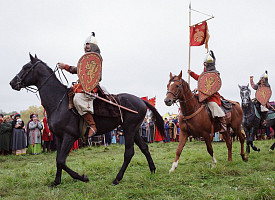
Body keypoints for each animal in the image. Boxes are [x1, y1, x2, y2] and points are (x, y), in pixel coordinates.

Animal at [10, 54, 166, 186]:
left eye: (26, 67)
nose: (12, 83)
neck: (59, 102)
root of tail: (140, 100)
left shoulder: (69, 136)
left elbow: (61, 160)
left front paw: (82, 177)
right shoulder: (59, 137)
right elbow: (58, 160)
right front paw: (56, 181)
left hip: (129, 129)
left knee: (129, 153)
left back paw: (117, 179)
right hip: (134, 130)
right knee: (144, 148)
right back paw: (152, 170)